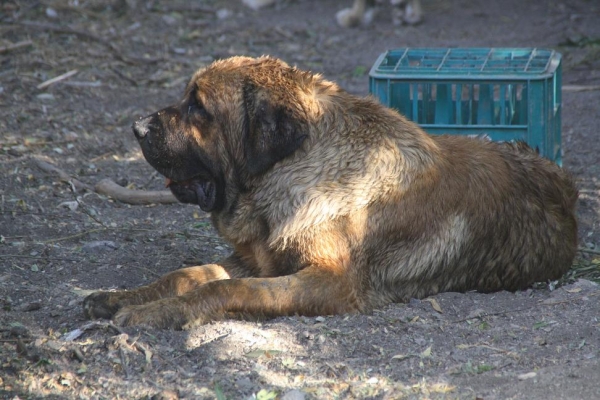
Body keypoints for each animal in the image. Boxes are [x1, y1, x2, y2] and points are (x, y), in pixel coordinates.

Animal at [83, 57, 576, 332]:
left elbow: (228, 289)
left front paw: (155, 314)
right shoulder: (258, 258)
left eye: (198, 107)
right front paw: (122, 297)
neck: (294, 174)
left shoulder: (330, 281)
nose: (137, 128)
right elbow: (187, 275)